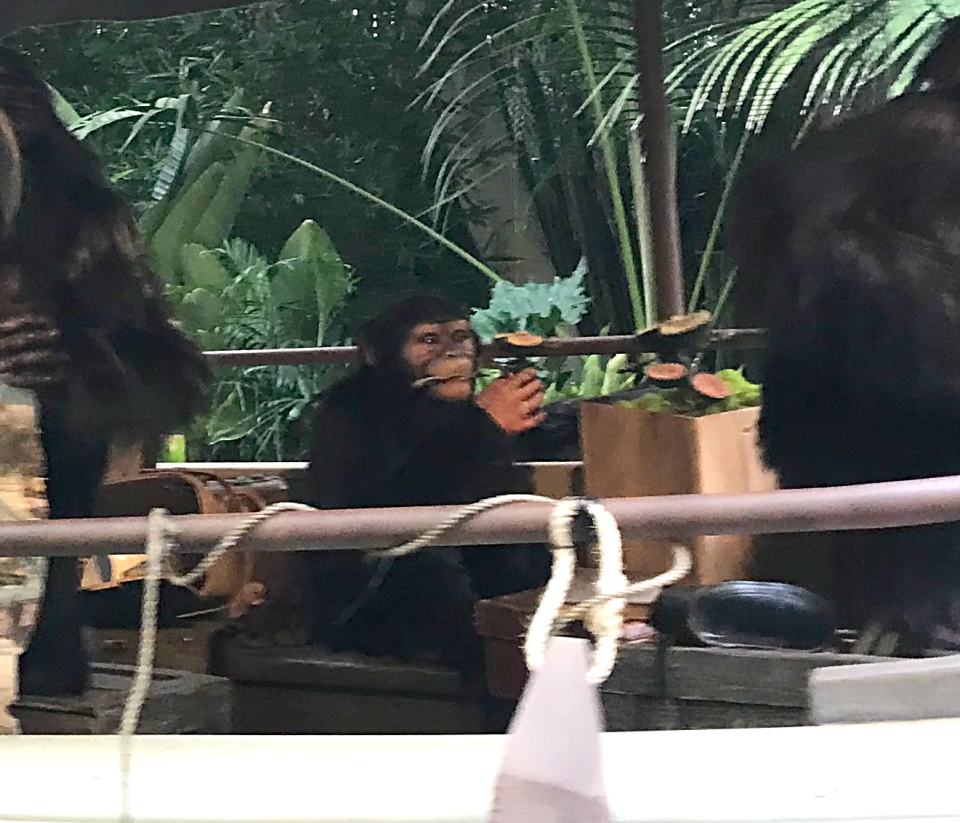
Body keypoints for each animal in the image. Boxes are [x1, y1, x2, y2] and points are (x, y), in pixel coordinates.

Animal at [304, 296, 552, 684]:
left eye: (460, 336)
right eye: (430, 340)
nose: (454, 353)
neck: (409, 399)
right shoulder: (345, 421)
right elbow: (361, 516)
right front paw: (495, 404)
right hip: (359, 629)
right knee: (420, 553)